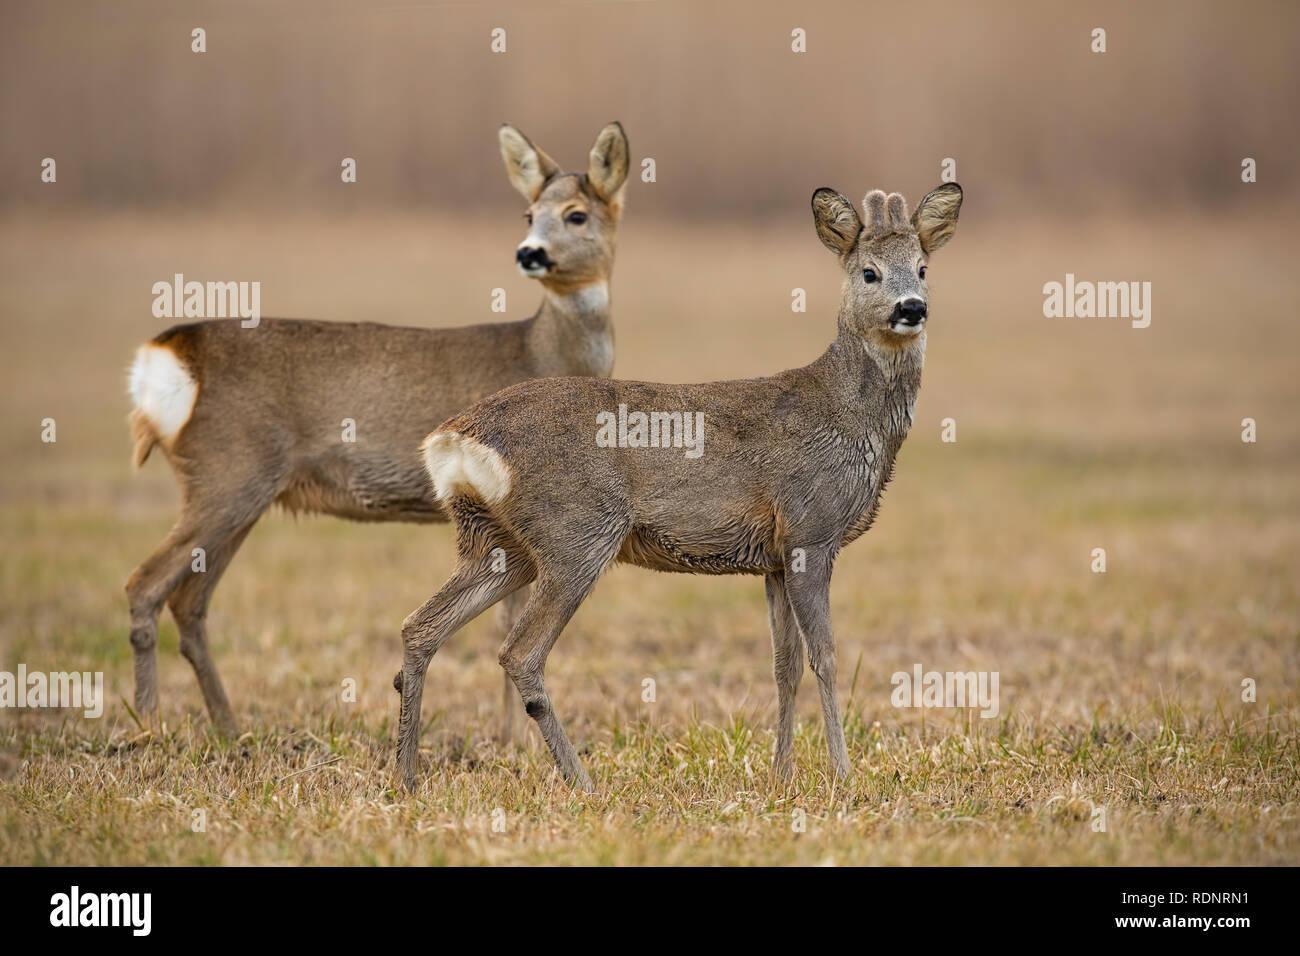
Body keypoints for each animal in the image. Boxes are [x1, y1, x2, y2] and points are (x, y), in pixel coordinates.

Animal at [125, 119, 629, 733]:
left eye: (576, 215)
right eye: (529, 214)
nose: (529, 252)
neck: (543, 352)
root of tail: (166, 355)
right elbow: (506, 616)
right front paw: (513, 738)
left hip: (239, 491)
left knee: (189, 602)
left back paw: (227, 727)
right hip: (228, 473)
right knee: (145, 585)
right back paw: (148, 724)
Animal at [395, 180, 967, 790]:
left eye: (923, 268)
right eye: (869, 272)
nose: (912, 308)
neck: (850, 417)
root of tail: (454, 436)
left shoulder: (773, 556)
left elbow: (784, 666)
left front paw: (782, 773)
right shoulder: (811, 529)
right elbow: (827, 658)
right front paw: (842, 774)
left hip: (497, 542)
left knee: (421, 626)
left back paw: (405, 774)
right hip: (575, 533)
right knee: (519, 652)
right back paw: (582, 781)